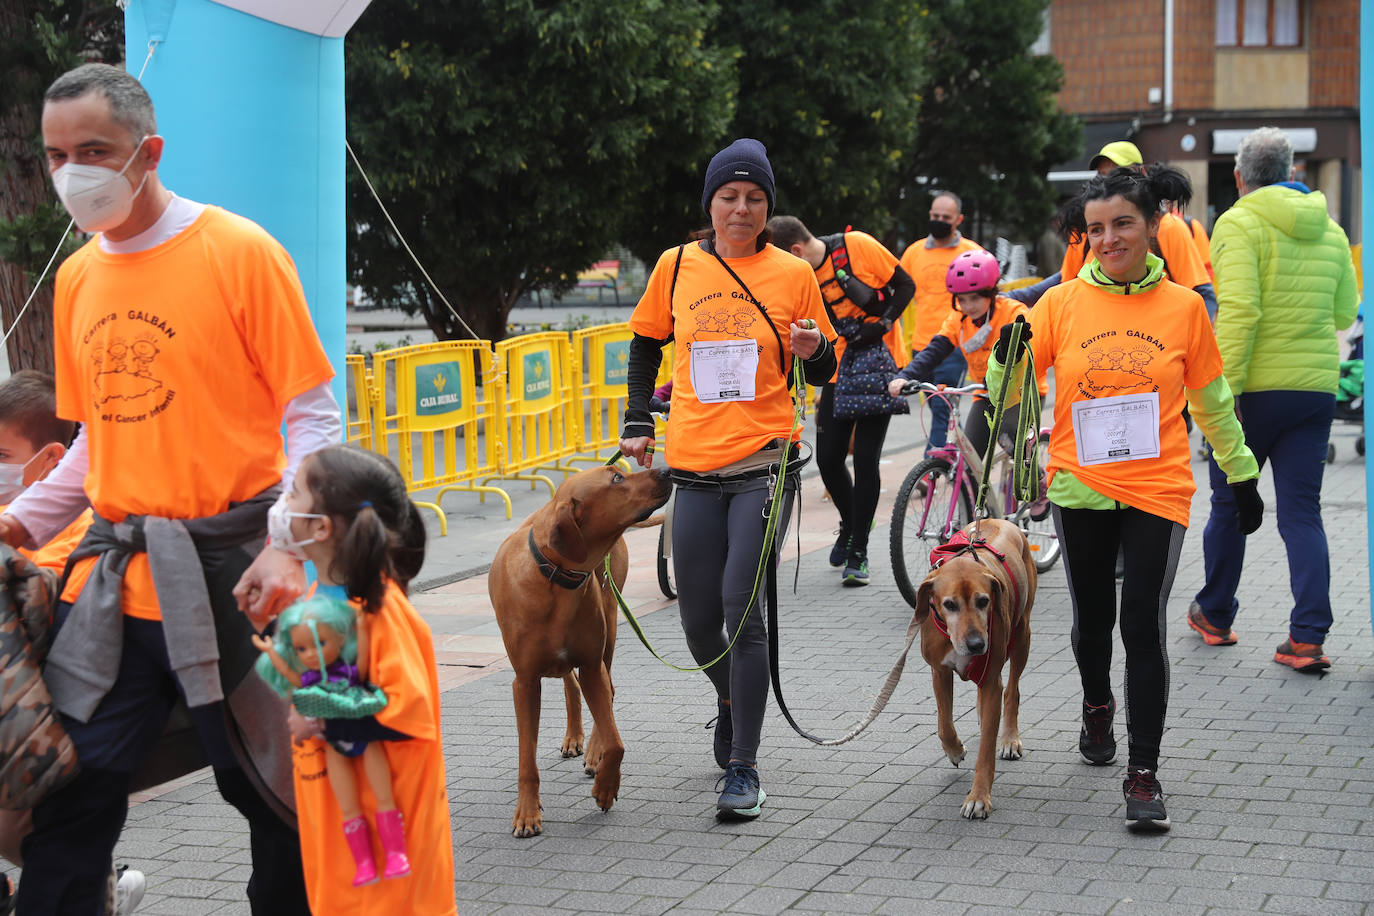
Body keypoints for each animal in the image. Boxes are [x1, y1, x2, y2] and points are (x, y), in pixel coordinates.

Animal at [489, 469, 670, 834]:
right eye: (617, 479)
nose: (666, 471)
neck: (554, 576)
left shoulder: (590, 664)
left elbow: (616, 741)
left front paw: (605, 786)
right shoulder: (524, 682)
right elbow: (526, 758)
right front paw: (527, 814)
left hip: (610, 622)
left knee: (607, 688)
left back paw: (592, 752)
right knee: (571, 686)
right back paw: (574, 738)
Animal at [917, 519, 1033, 818]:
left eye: (983, 601)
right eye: (949, 604)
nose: (976, 644)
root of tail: (998, 520)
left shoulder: (991, 679)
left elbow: (986, 750)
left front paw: (979, 797)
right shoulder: (939, 671)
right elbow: (944, 722)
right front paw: (954, 750)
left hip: (1022, 635)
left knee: (1012, 691)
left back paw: (1009, 738)